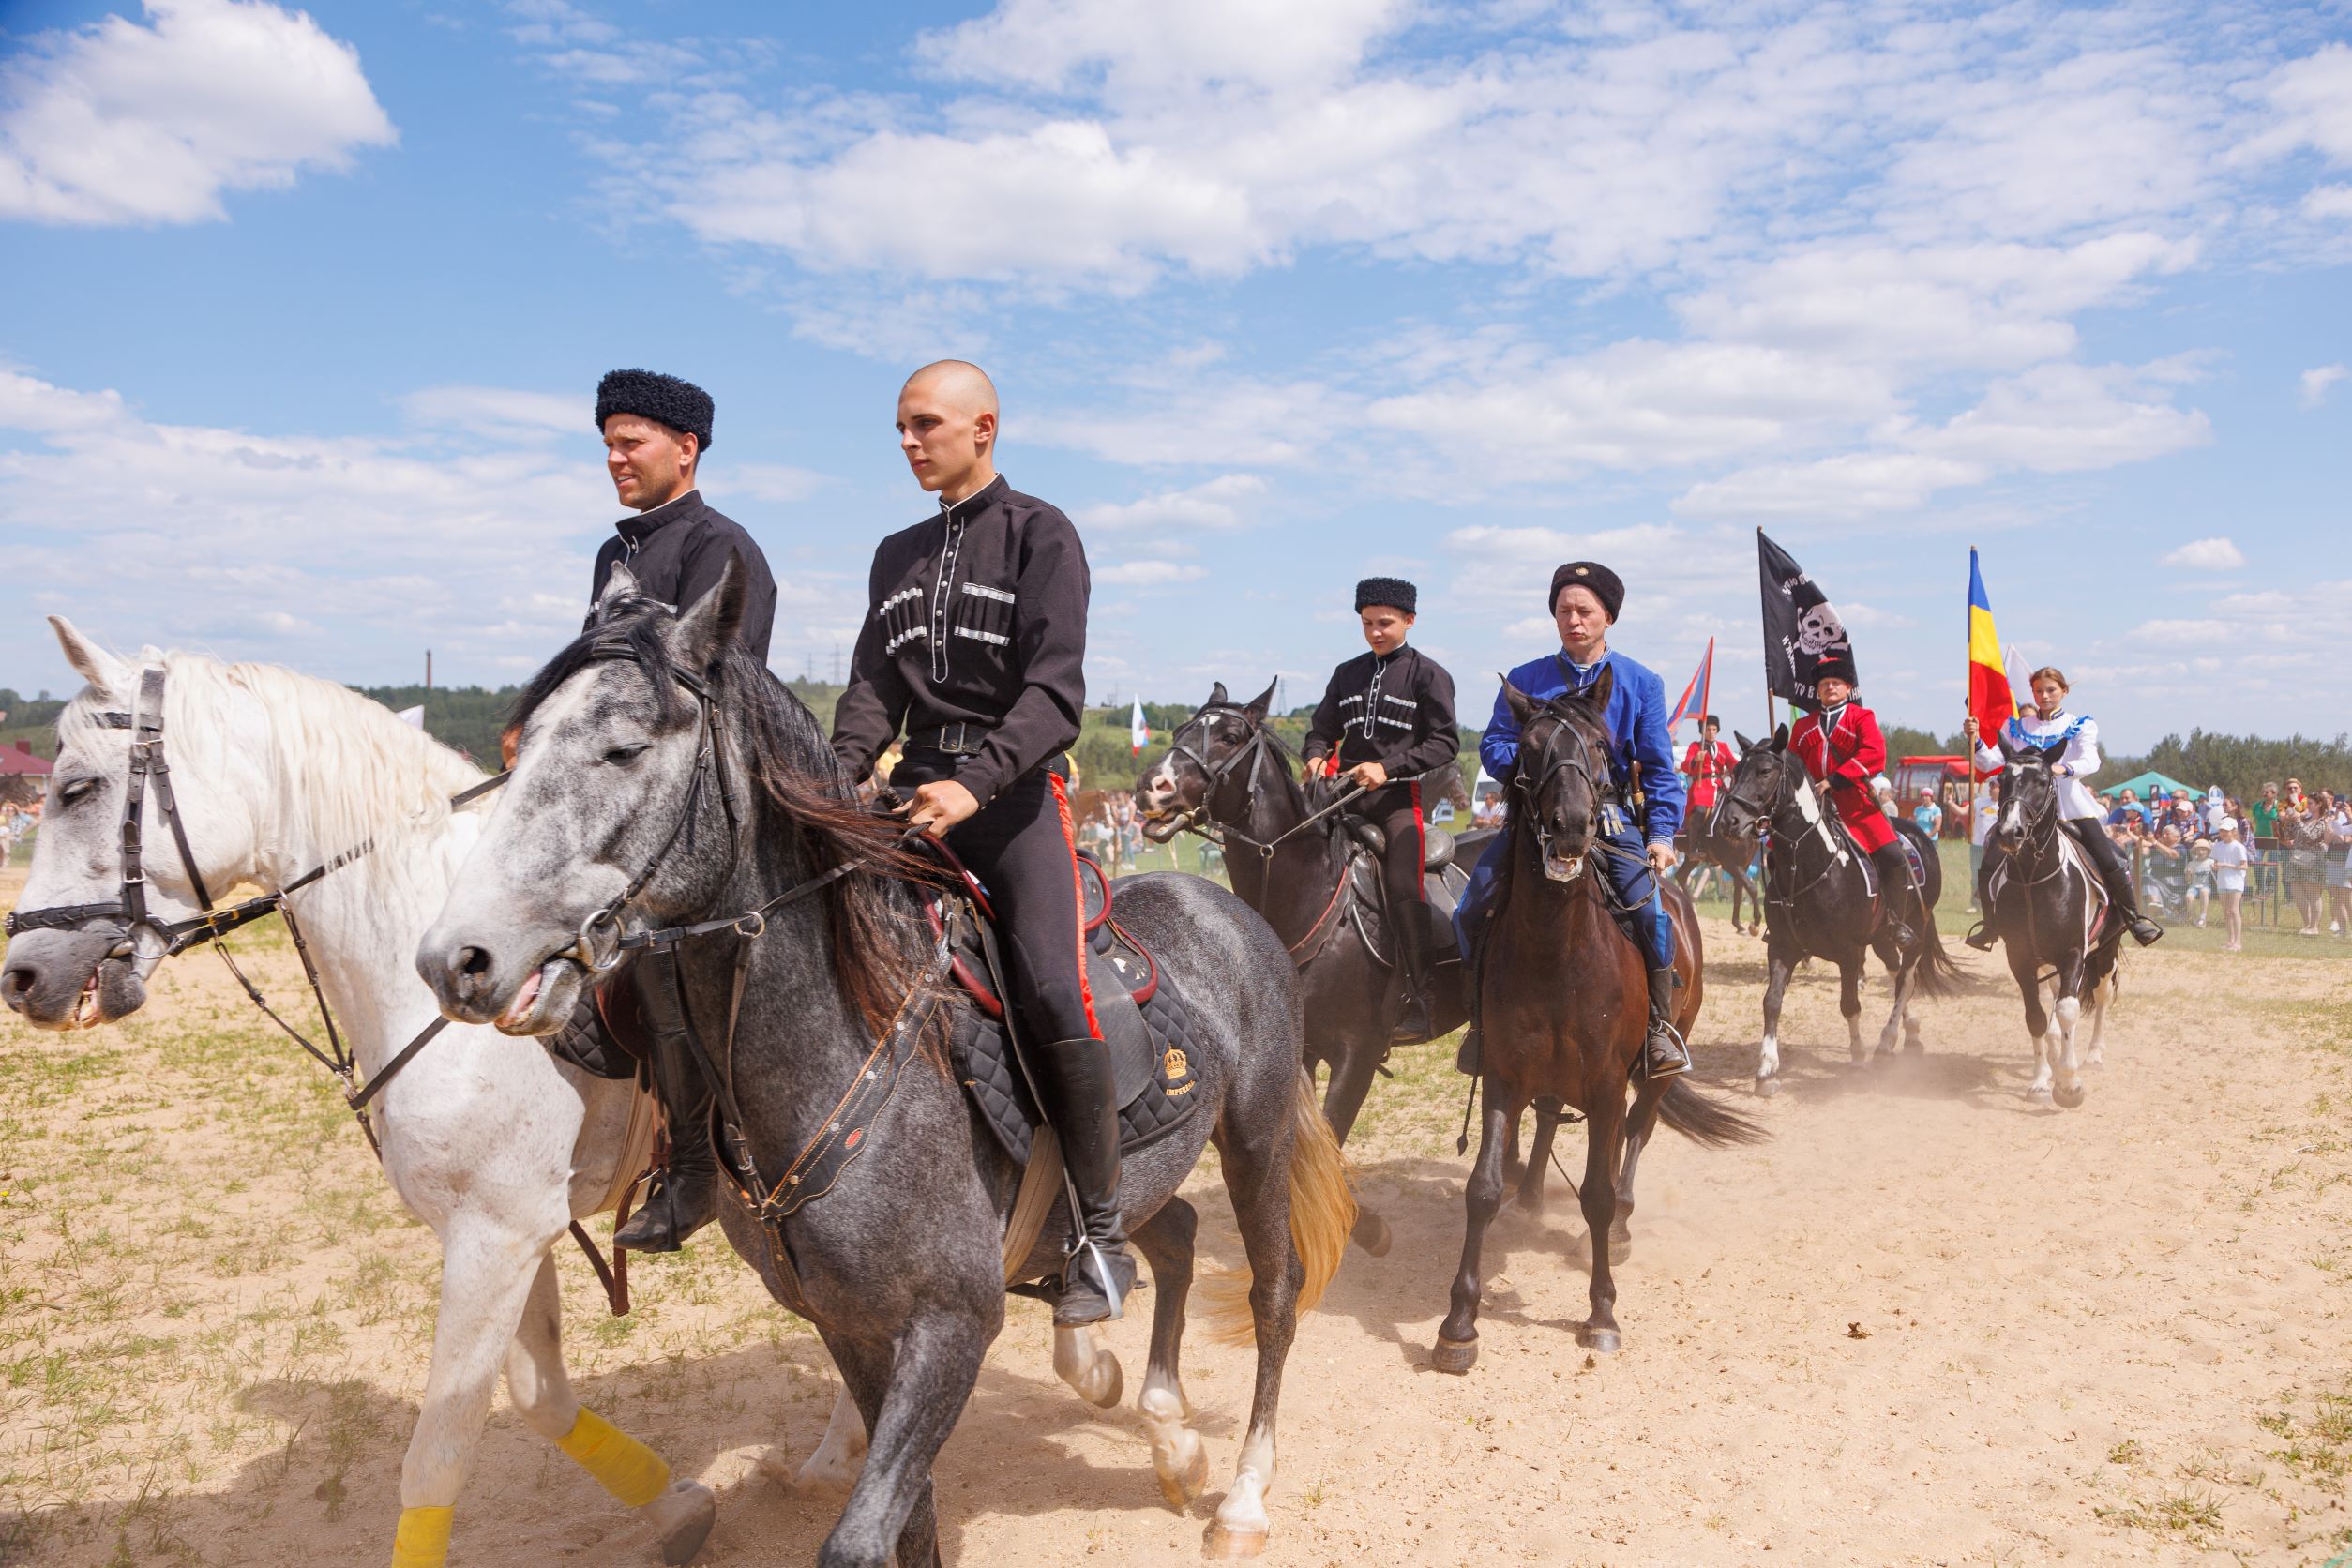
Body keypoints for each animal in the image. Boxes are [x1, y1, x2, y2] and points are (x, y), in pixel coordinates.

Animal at [2, 620, 715, 1560]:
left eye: (77, 789)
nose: (20, 977)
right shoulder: (506, 1236)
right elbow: (541, 1399)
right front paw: (675, 1506)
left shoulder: (496, 1238)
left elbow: (435, 1461)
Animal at [415, 566, 1354, 1568]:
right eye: (517, 748)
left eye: (624, 748)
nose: (456, 959)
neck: (840, 1069)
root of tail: (1225, 906)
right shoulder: (854, 1333)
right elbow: (912, 1524)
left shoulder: (948, 1330)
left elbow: (864, 1539)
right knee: (1172, 1233)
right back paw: (1164, 1428)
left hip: (1255, 1139)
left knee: (1274, 1293)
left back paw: (1242, 1497)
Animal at [1420, 676, 1758, 1372]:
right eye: (1528, 748)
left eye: (1601, 747)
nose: (1572, 826)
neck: (1558, 952)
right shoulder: (1503, 1077)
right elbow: (1482, 1189)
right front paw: (1459, 1322)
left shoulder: (1605, 1086)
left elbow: (1598, 1195)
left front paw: (1601, 1312)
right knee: (1553, 1118)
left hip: (1653, 1076)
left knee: (1638, 1133)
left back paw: (1624, 1225)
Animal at [1711, 729, 1966, 1100]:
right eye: (1735, 771)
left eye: (1764, 772)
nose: (1729, 821)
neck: (1808, 864)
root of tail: (1917, 835)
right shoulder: (1782, 947)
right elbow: (1771, 1002)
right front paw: (1766, 1071)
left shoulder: (1849, 952)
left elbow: (1850, 1005)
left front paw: (1858, 1062)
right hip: (1882, 938)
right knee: (1895, 973)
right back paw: (1911, 1033)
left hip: (1915, 928)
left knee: (1905, 980)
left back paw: (1885, 1044)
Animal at [1975, 733, 2126, 1105]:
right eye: (2003, 780)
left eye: (2043, 782)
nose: (2010, 832)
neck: (2034, 878)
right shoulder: (2021, 957)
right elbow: (2037, 1017)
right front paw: (2042, 1080)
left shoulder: (2073, 953)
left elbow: (2067, 1010)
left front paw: (2069, 1085)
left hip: (2106, 950)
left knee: (2101, 998)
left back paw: (2094, 1055)